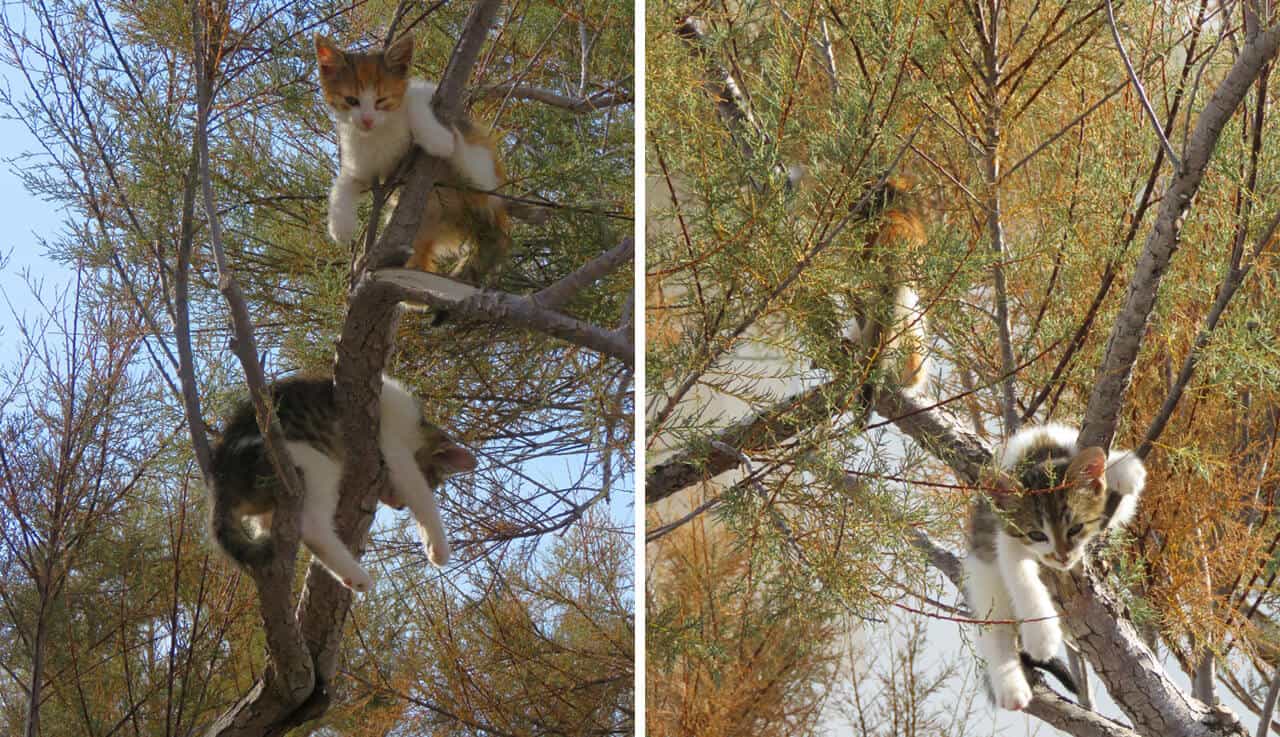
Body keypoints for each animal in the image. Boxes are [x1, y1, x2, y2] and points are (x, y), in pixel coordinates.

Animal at [209, 373, 476, 593]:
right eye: (432, 482)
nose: (399, 507)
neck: (414, 427)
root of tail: (221, 480)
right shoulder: (396, 450)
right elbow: (421, 497)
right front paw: (438, 549)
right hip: (312, 462)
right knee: (313, 528)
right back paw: (357, 577)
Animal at [317, 33, 512, 285]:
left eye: (382, 100)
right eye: (351, 100)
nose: (367, 120)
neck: (381, 130)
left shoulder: (425, 92)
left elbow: (416, 98)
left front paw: (434, 137)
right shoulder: (362, 165)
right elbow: (343, 185)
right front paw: (340, 226)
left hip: (481, 170)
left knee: (465, 154)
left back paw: (447, 140)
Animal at [962, 422, 1146, 711]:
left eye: (1076, 528)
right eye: (1037, 534)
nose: (1062, 556)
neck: (1038, 454)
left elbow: (1123, 498)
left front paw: (1125, 470)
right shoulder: (1008, 536)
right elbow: (1018, 574)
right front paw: (1041, 635)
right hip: (984, 579)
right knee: (996, 630)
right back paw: (1011, 687)